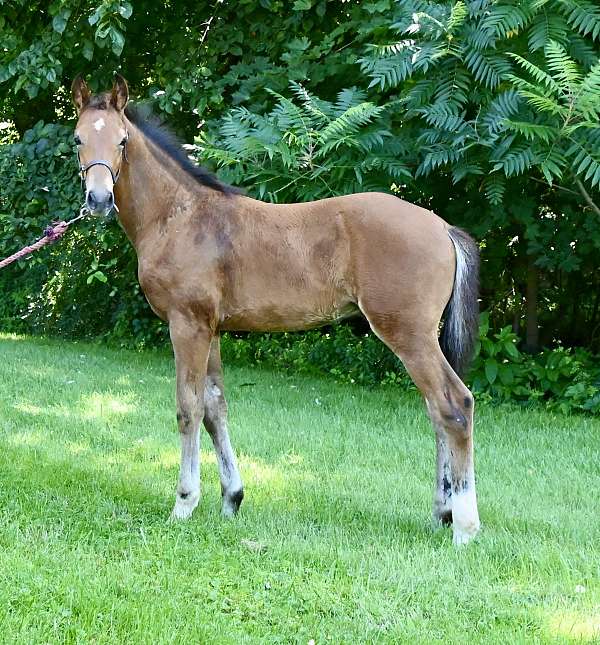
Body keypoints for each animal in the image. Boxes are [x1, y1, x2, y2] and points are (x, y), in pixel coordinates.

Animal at [71, 75, 481, 545]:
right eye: (77, 138)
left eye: (121, 140)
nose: (98, 199)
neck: (181, 217)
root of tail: (442, 227)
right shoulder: (210, 329)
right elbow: (215, 408)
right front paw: (231, 499)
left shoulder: (186, 325)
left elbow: (188, 408)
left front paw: (184, 503)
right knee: (435, 410)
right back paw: (442, 512)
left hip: (408, 334)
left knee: (454, 406)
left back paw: (465, 525)